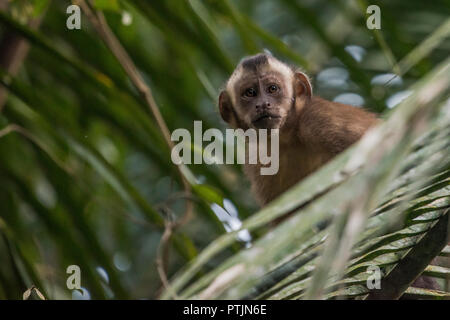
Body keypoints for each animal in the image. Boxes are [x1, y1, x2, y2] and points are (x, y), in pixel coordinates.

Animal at [219, 53, 380, 205]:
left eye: (272, 89)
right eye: (250, 92)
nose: (263, 104)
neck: (287, 138)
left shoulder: (318, 120)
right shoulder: (257, 157)